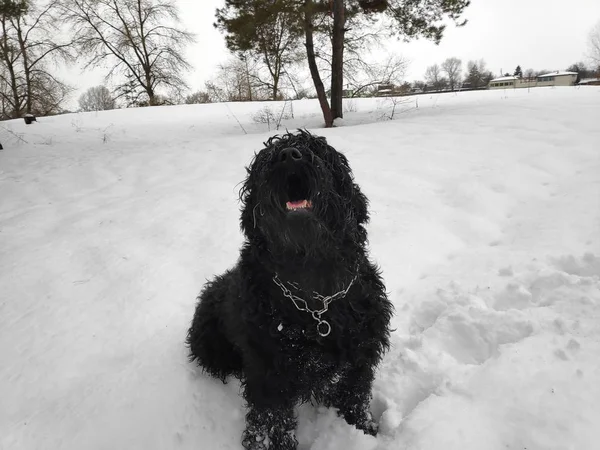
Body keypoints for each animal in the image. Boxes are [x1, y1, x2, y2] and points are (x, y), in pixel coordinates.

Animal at [188, 128, 394, 448]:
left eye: (319, 152)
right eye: (264, 161)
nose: (288, 155)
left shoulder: (360, 355)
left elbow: (355, 398)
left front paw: (363, 431)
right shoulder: (268, 371)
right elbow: (271, 421)